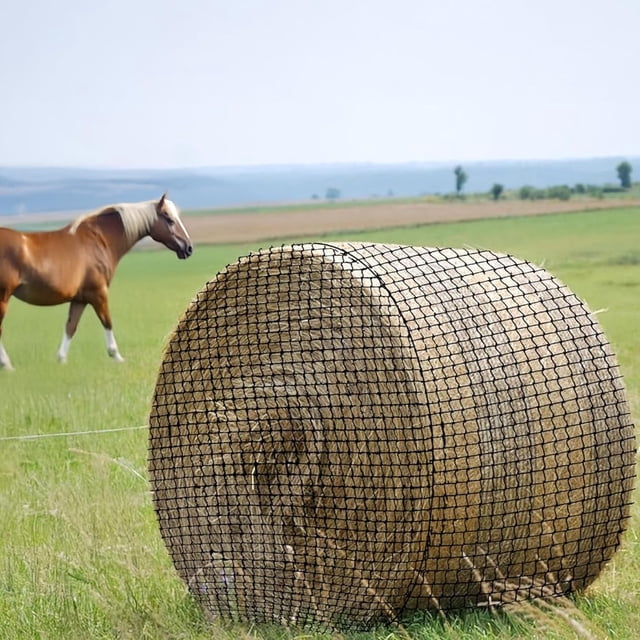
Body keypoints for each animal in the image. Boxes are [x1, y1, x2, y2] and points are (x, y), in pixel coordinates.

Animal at [0, 194, 192, 370]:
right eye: (169, 219)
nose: (189, 248)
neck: (98, 240)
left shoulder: (80, 299)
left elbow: (71, 327)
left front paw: (61, 359)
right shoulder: (98, 294)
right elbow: (107, 322)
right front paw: (117, 356)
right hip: (3, 298)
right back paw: (7, 365)